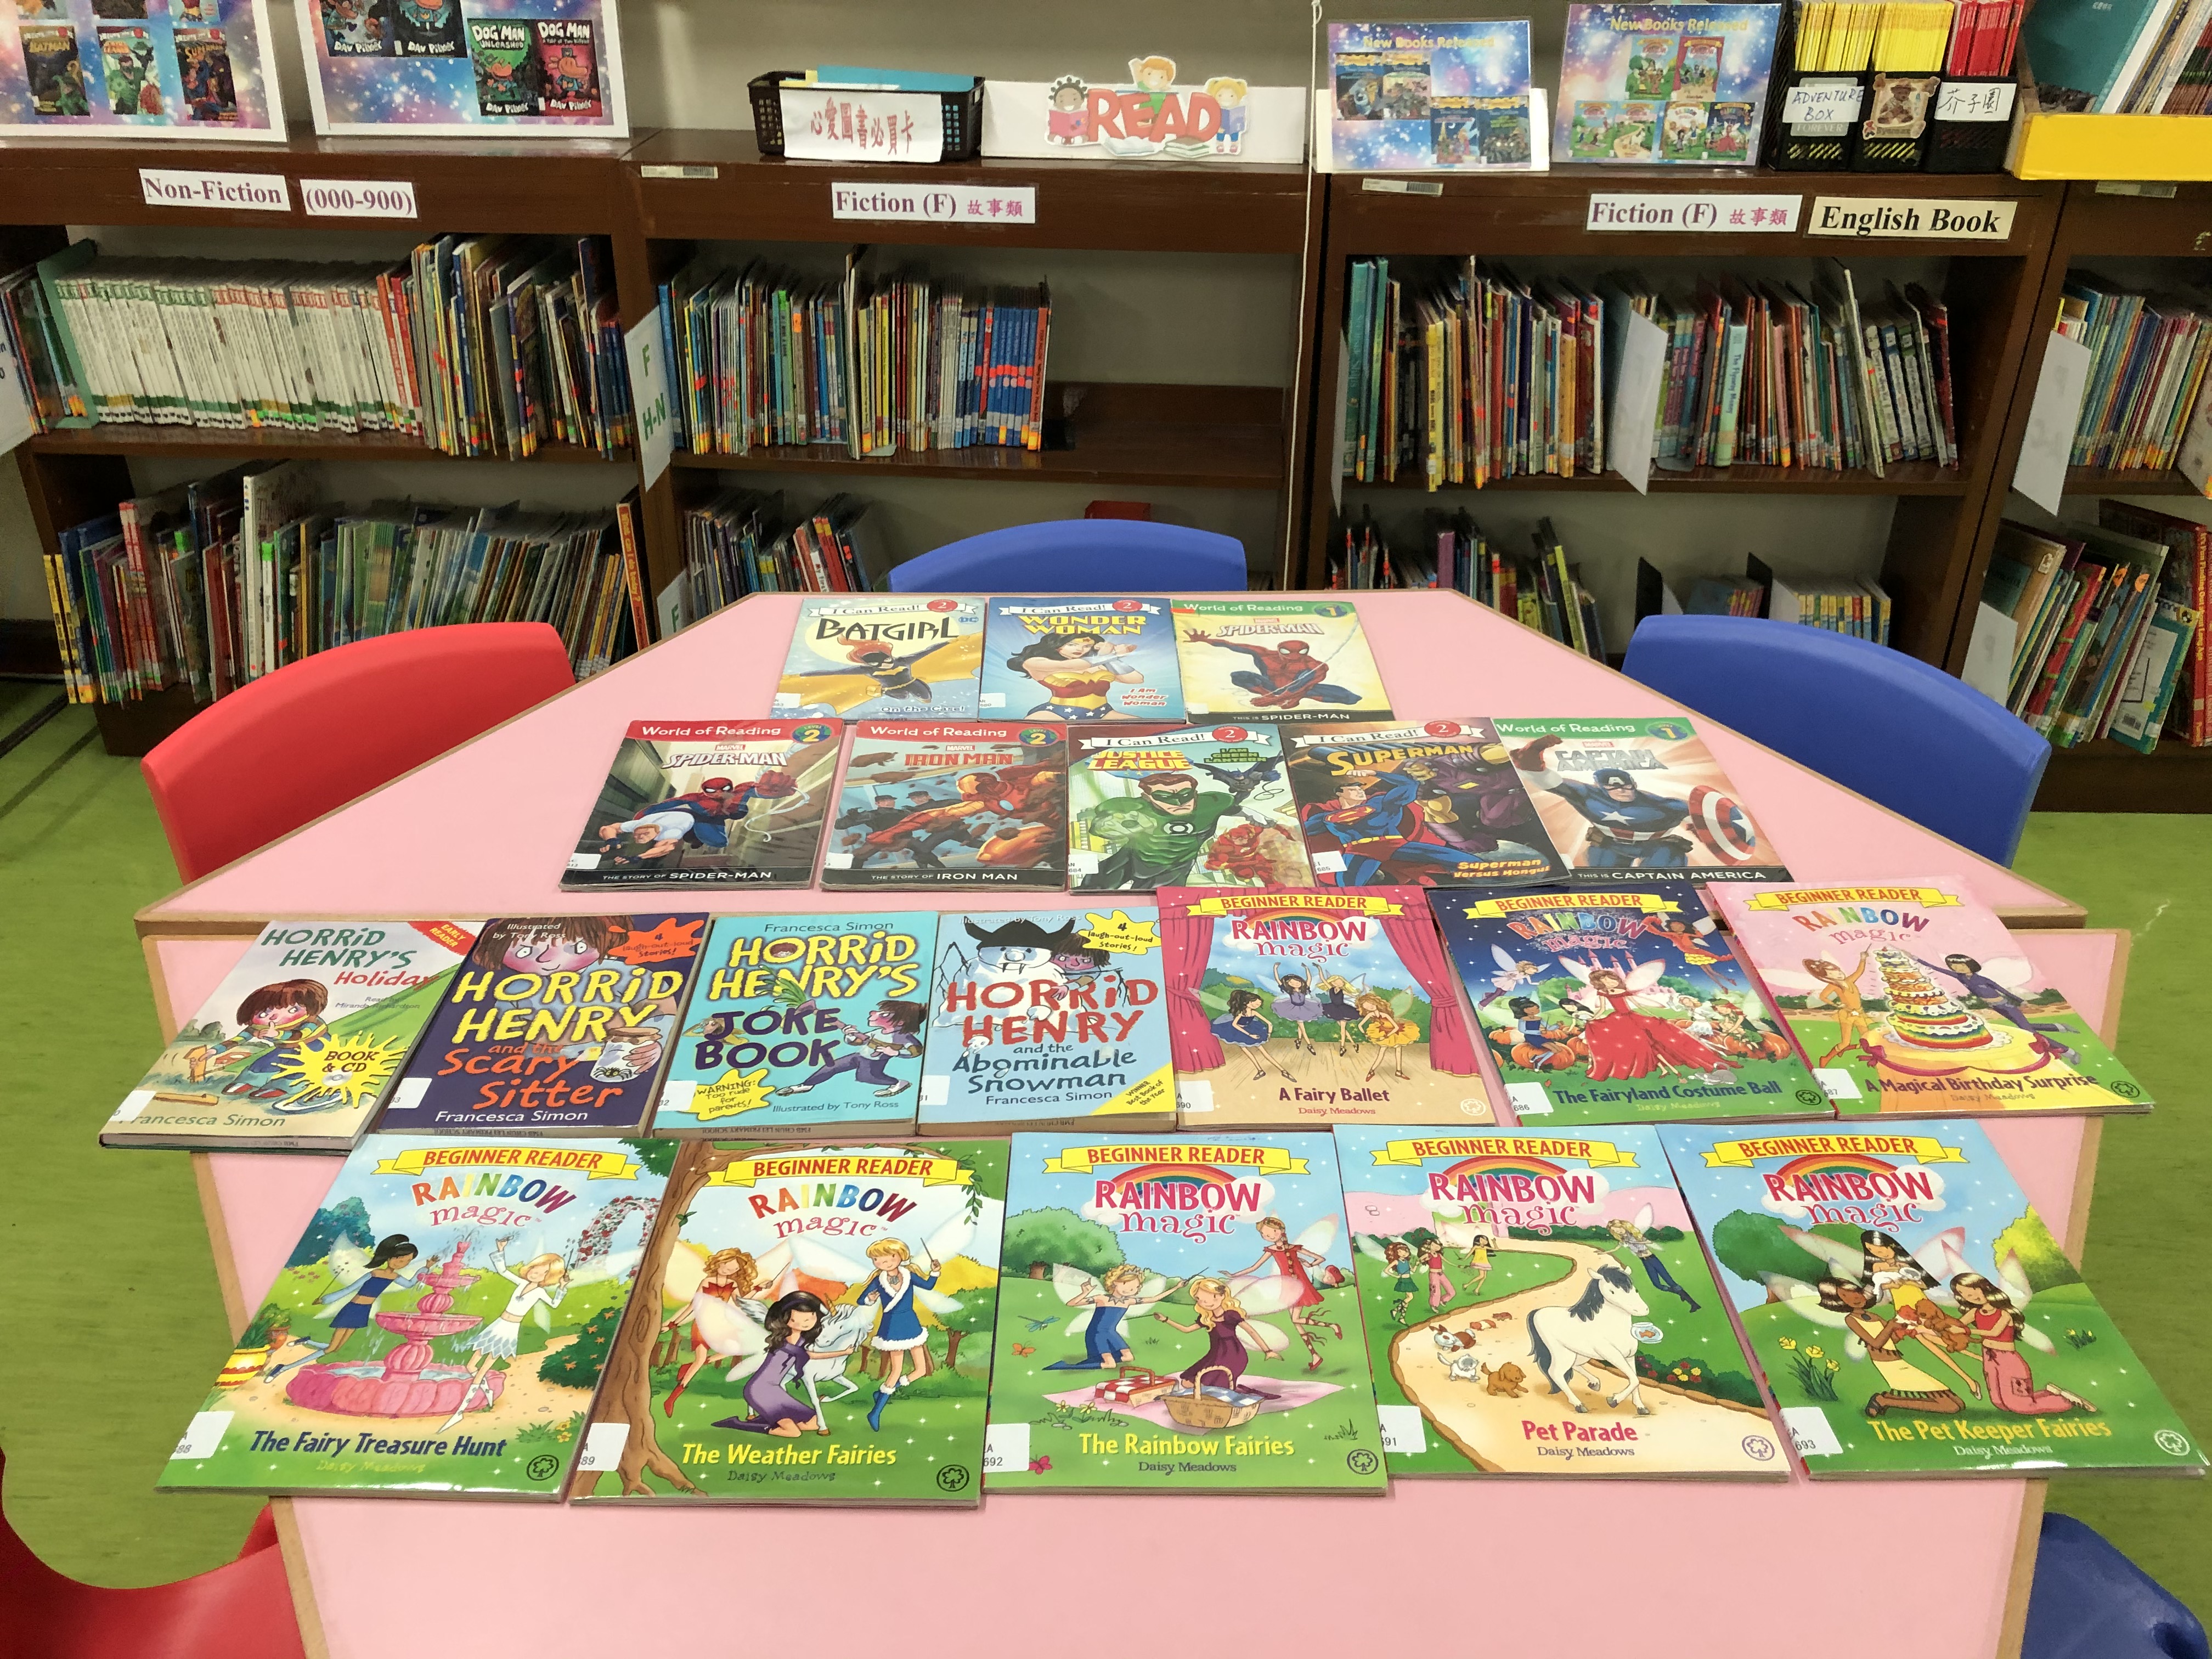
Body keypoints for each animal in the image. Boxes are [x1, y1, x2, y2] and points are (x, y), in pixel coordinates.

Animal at [1527, 1264, 1652, 1415]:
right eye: (1612, 1292)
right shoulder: (1613, 1355)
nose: (1643, 1310)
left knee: (1575, 1366)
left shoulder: (1630, 1356)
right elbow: (1634, 1379)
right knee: (1556, 1373)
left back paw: (1594, 1383)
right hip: (1563, 1353)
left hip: (1580, 1354)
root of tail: (1537, 1312)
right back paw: (1579, 1405)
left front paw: (1641, 1407)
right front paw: (1613, 1401)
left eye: (1635, 1289)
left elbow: (1635, 1379)